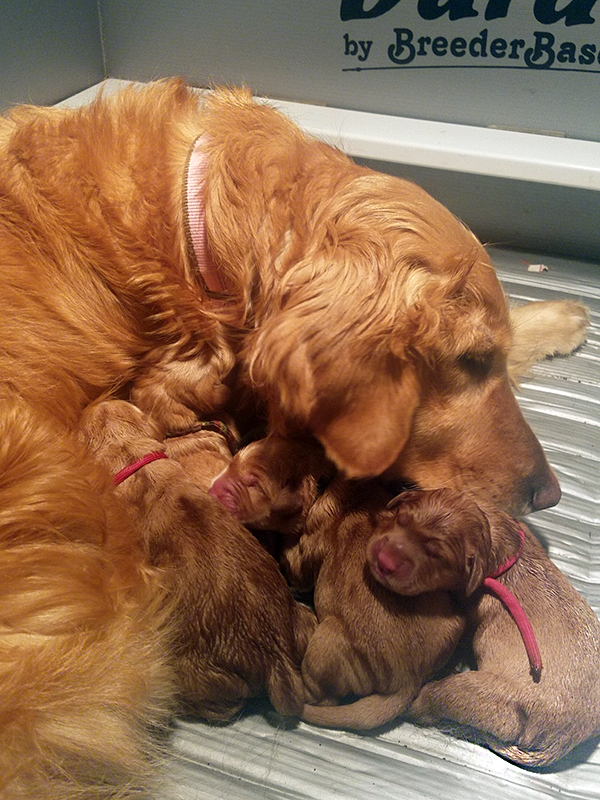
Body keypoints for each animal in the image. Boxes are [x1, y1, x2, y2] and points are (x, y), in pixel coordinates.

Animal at [368, 488, 600, 768]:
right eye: (401, 518)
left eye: (437, 556)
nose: (384, 561)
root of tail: (565, 740)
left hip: (467, 691)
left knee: (425, 704)